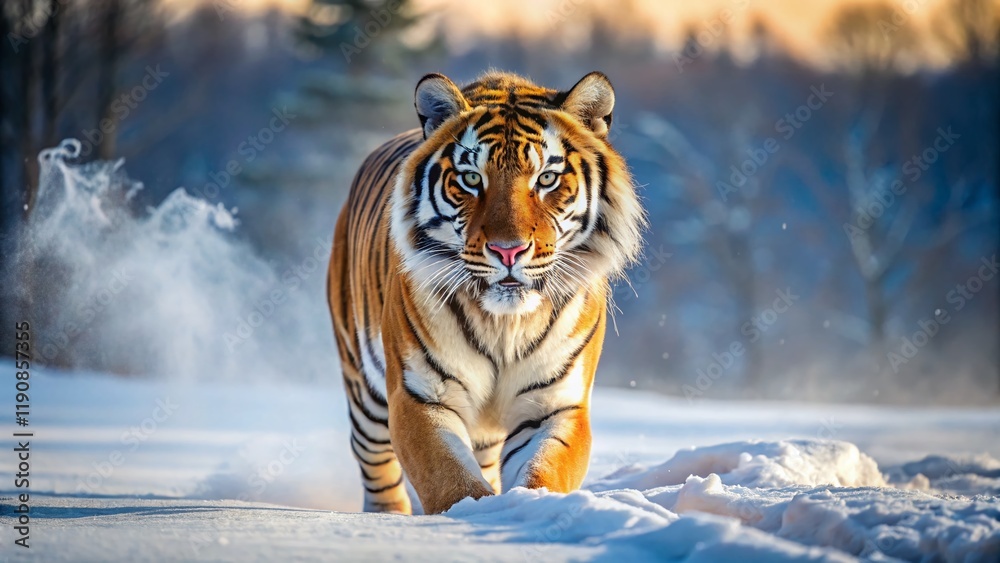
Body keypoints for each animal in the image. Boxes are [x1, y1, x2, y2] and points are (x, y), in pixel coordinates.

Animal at [327, 70, 644, 515]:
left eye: (547, 178)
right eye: (472, 179)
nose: (508, 250)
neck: (504, 324)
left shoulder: (554, 405)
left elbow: (545, 471)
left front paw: (528, 510)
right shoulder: (420, 396)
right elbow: (451, 479)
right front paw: (477, 513)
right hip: (365, 393)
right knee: (377, 470)